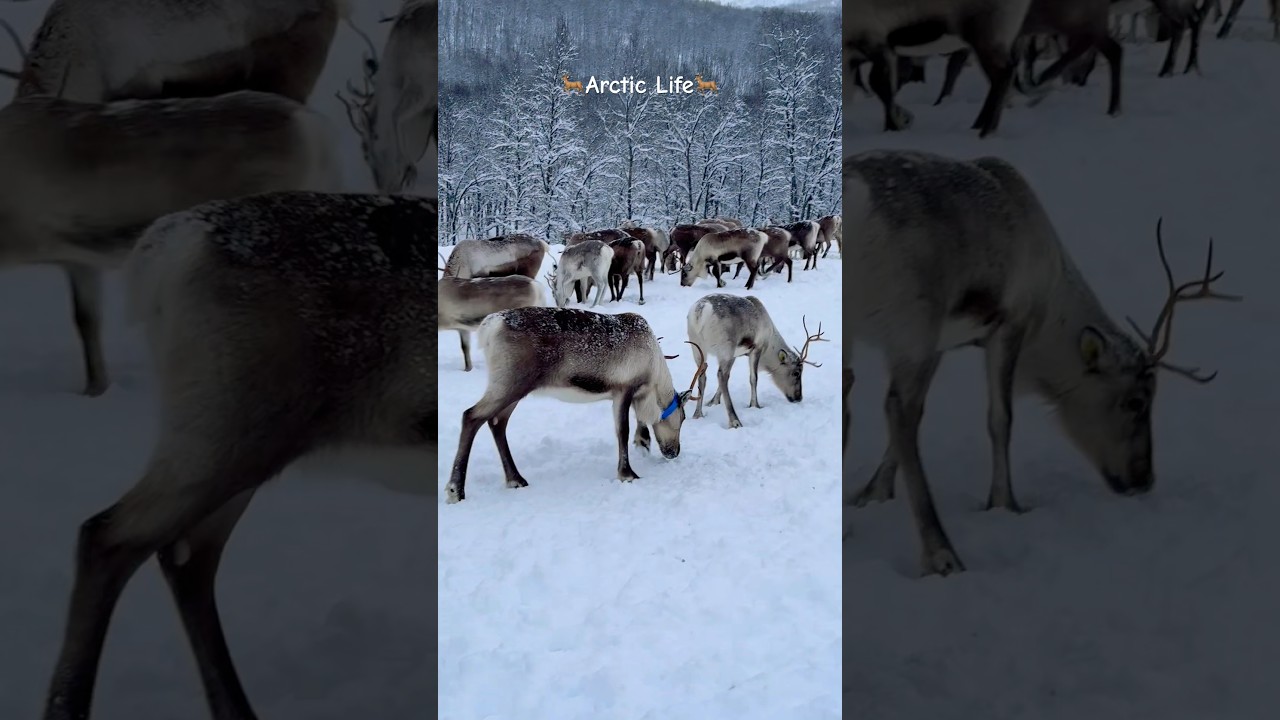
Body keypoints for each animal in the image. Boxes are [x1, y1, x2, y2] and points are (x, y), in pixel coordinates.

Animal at [445, 306, 709, 502]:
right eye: (682, 418)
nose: (674, 452)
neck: (653, 374)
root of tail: (489, 325)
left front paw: (642, 443)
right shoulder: (623, 390)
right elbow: (622, 431)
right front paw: (627, 473)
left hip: (516, 388)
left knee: (497, 423)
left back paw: (515, 479)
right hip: (510, 383)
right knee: (471, 416)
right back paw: (456, 489)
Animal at [686, 295, 827, 429]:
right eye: (796, 373)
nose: (798, 398)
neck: (770, 344)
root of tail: (701, 312)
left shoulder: (737, 354)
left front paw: (713, 402)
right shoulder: (756, 348)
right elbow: (753, 378)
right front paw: (755, 405)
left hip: (697, 346)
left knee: (703, 376)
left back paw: (698, 414)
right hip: (725, 348)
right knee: (721, 376)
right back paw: (735, 421)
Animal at [843, 149, 1239, 577]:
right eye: (1136, 401)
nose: (1144, 479)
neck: (1050, 311)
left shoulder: (944, 341)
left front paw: (872, 493)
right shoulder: (1008, 323)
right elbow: (999, 419)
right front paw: (1005, 503)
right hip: (914, 319)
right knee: (897, 409)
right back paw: (941, 553)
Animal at [847, 0, 1034, 137]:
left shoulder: (874, 41)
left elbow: (879, 84)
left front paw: (897, 123)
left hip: (985, 34)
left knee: (1002, 74)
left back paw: (985, 131)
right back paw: (978, 126)